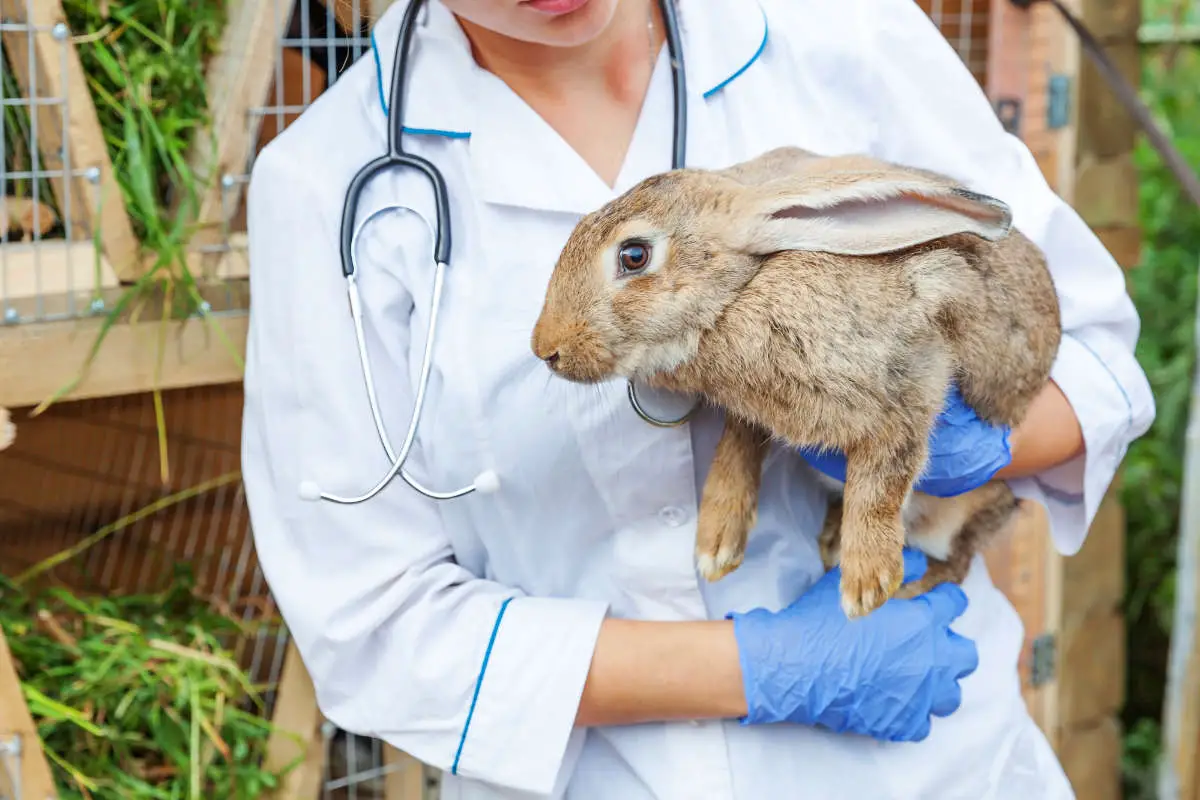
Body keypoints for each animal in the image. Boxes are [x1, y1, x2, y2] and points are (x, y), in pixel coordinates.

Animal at [532, 145, 1060, 618]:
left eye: (634, 255)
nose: (546, 349)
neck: (743, 290)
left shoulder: (912, 379)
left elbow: (883, 478)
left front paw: (868, 583)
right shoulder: (755, 412)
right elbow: (736, 448)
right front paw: (715, 543)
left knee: (958, 560)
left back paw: (906, 586)